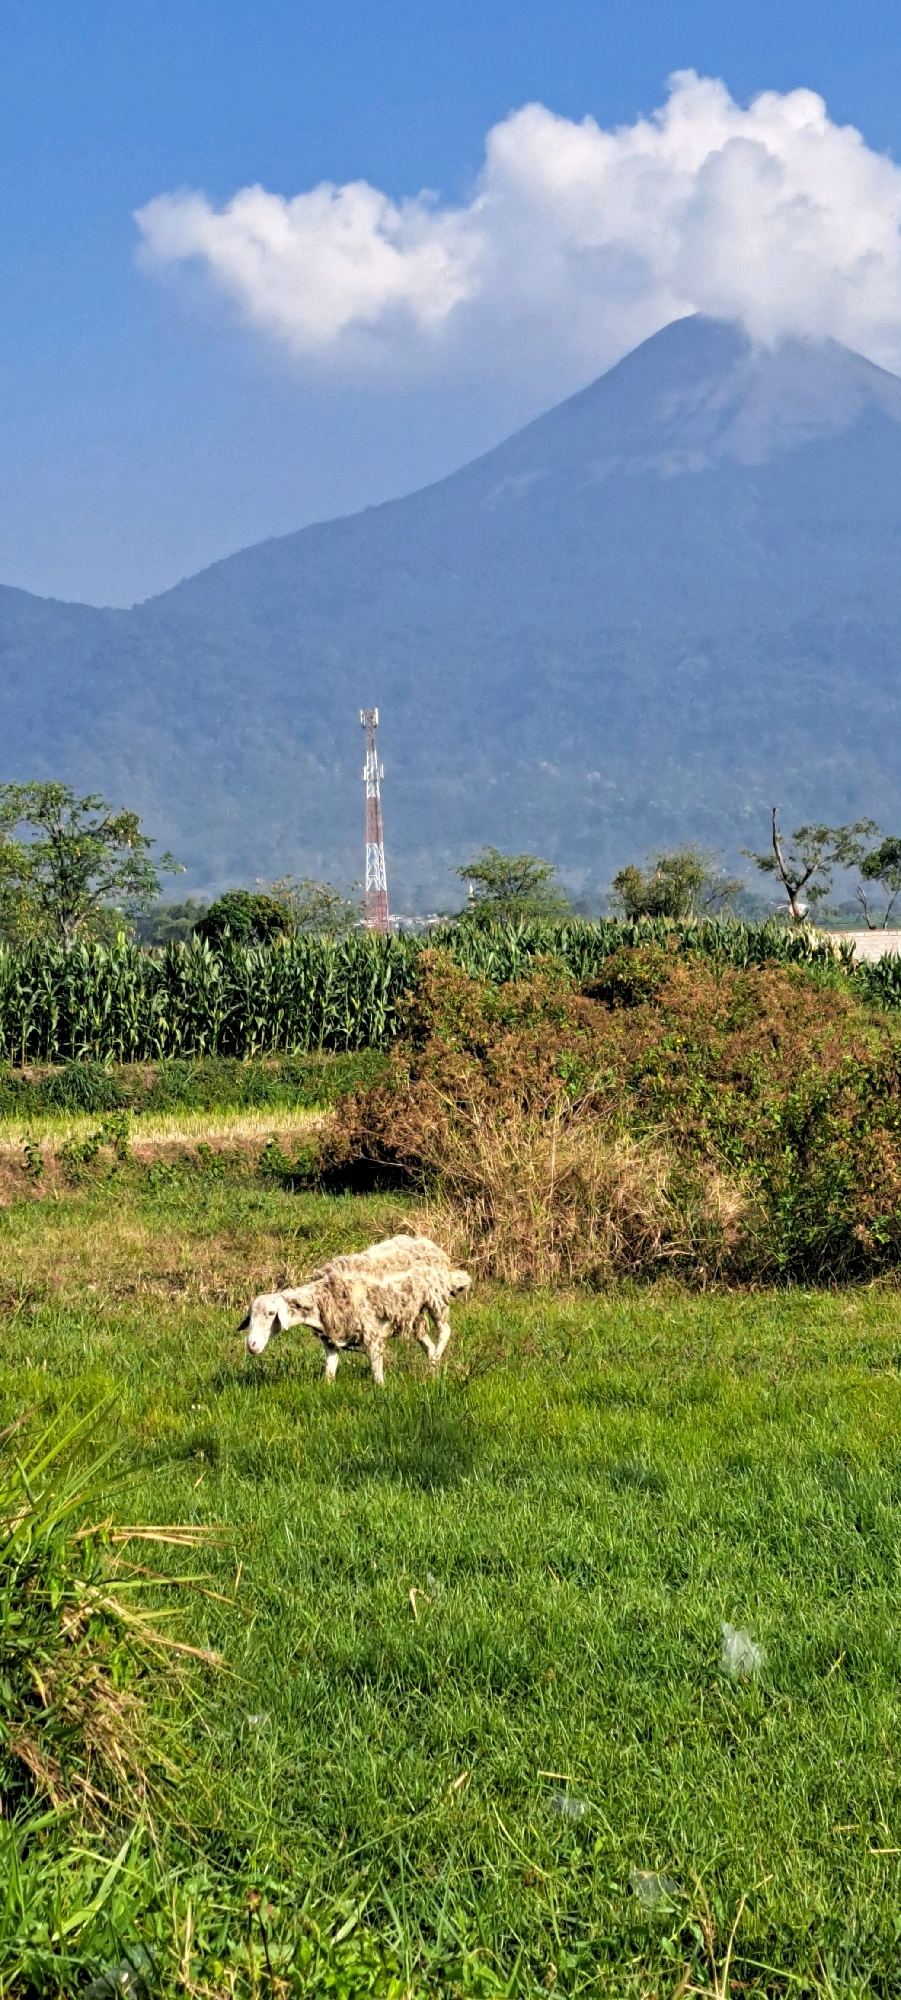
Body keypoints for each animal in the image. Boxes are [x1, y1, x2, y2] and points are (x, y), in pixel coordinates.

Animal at [240, 1234, 471, 1384]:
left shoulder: (372, 1336)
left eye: (271, 1314)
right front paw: (327, 1387)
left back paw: (438, 1357)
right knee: (427, 1343)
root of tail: (430, 1245)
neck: (324, 1294)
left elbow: (377, 1374)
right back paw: (431, 1370)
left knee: (445, 1331)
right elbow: (329, 1373)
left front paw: (381, 1390)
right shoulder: (331, 1340)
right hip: (413, 1314)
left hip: (436, 1298)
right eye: (249, 1317)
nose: (251, 1345)